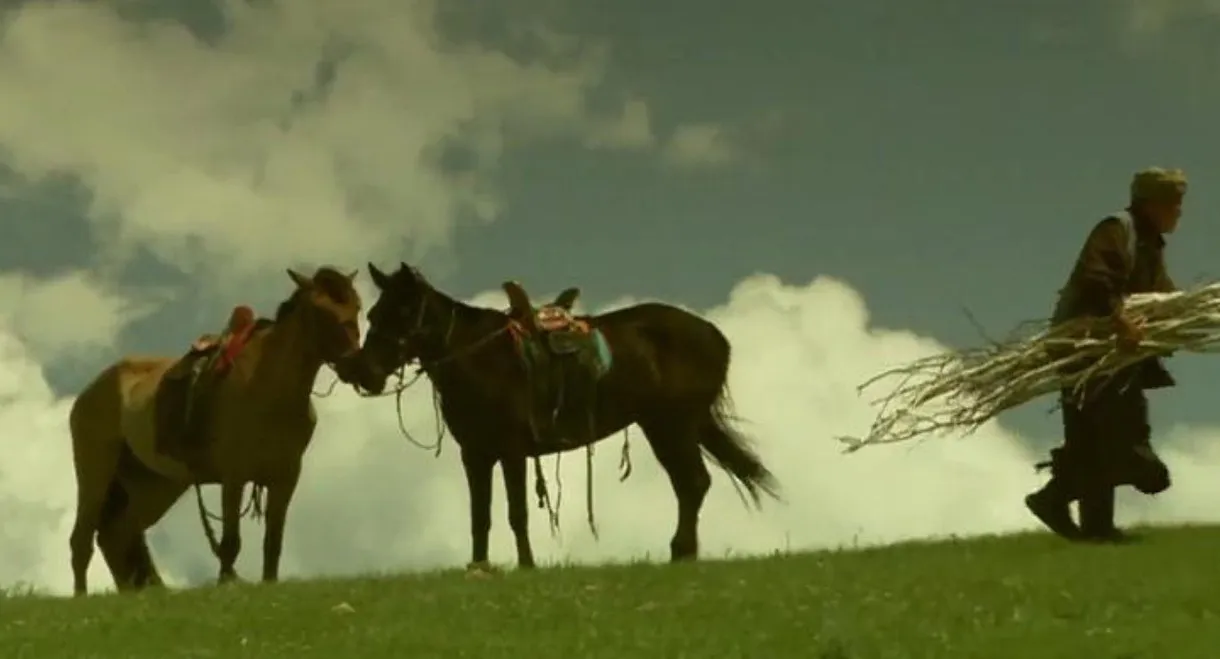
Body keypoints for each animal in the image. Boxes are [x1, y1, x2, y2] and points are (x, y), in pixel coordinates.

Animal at [67, 266, 362, 596]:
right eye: (320, 311)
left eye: (357, 308)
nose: (357, 366)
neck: (268, 386)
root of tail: (89, 391)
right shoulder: (234, 475)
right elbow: (230, 542)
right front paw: (226, 584)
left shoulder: (285, 478)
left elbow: (273, 542)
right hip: (95, 472)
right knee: (82, 540)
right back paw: (81, 596)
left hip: (153, 484)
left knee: (119, 535)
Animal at [340, 261, 780, 571]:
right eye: (374, 314)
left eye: (404, 311)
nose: (360, 372)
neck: (479, 357)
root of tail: (715, 336)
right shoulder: (475, 455)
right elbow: (479, 516)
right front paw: (479, 566)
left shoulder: (511, 451)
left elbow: (516, 513)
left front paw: (526, 565)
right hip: (664, 426)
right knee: (690, 484)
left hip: (673, 425)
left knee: (692, 483)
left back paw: (680, 552)